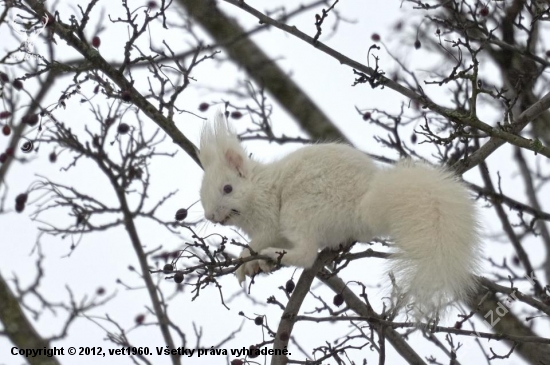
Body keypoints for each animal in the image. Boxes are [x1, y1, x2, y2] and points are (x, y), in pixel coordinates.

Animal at [199, 112, 484, 318]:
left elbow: (261, 238)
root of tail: (362, 209)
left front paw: (245, 258)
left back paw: (274, 255)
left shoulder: (268, 213)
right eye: (201, 193)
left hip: (299, 208)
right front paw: (254, 264)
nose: (211, 216)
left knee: (306, 253)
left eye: (227, 188)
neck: (256, 187)